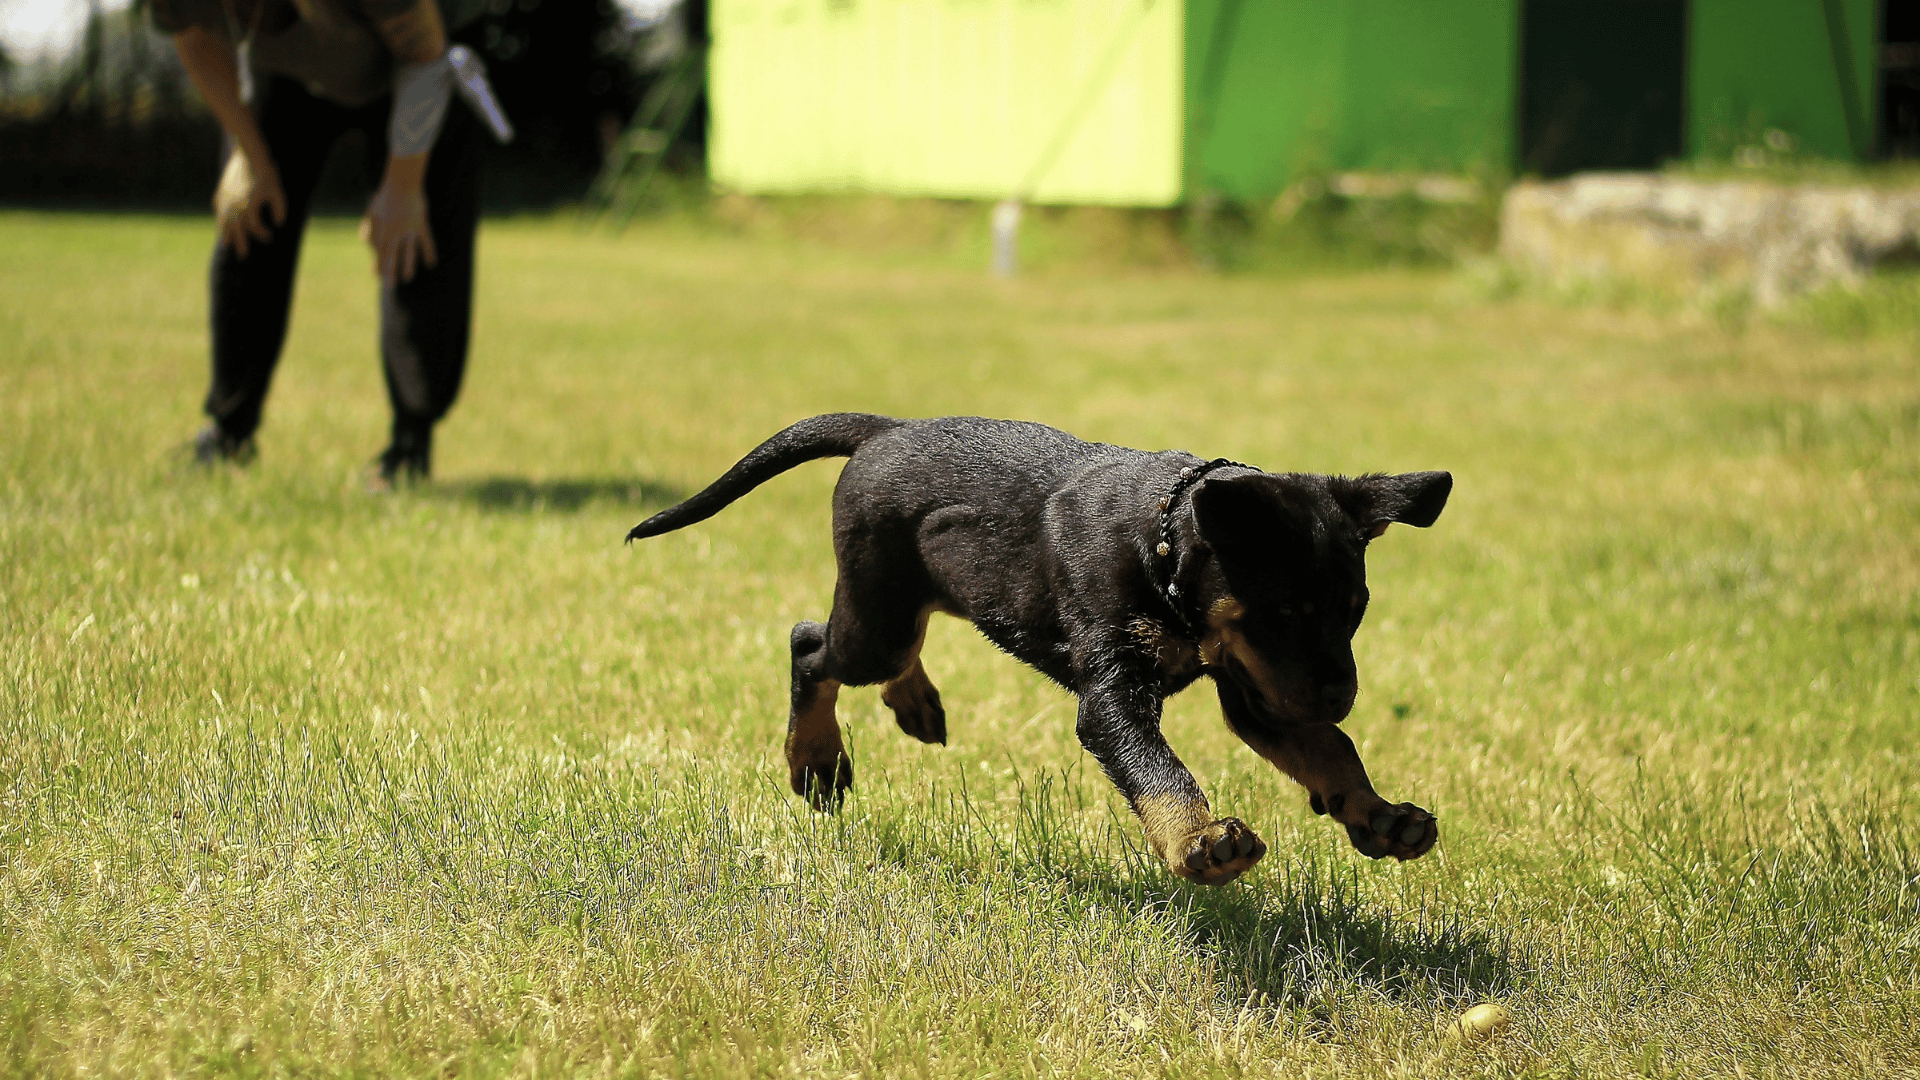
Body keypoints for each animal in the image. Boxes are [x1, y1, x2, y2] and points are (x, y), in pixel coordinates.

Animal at [629, 411, 1451, 883]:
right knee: (811, 646)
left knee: (889, 646)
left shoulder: (1258, 690)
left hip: (914, 597)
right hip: (877, 617)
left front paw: (1379, 816)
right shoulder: (1117, 694)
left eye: (1355, 611)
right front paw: (1200, 841)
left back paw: (914, 703)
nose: (1341, 694)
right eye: (1283, 611)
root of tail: (885, 430)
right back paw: (817, 762)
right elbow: (1159, 769)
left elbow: (1331, 750)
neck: (1161, 546)